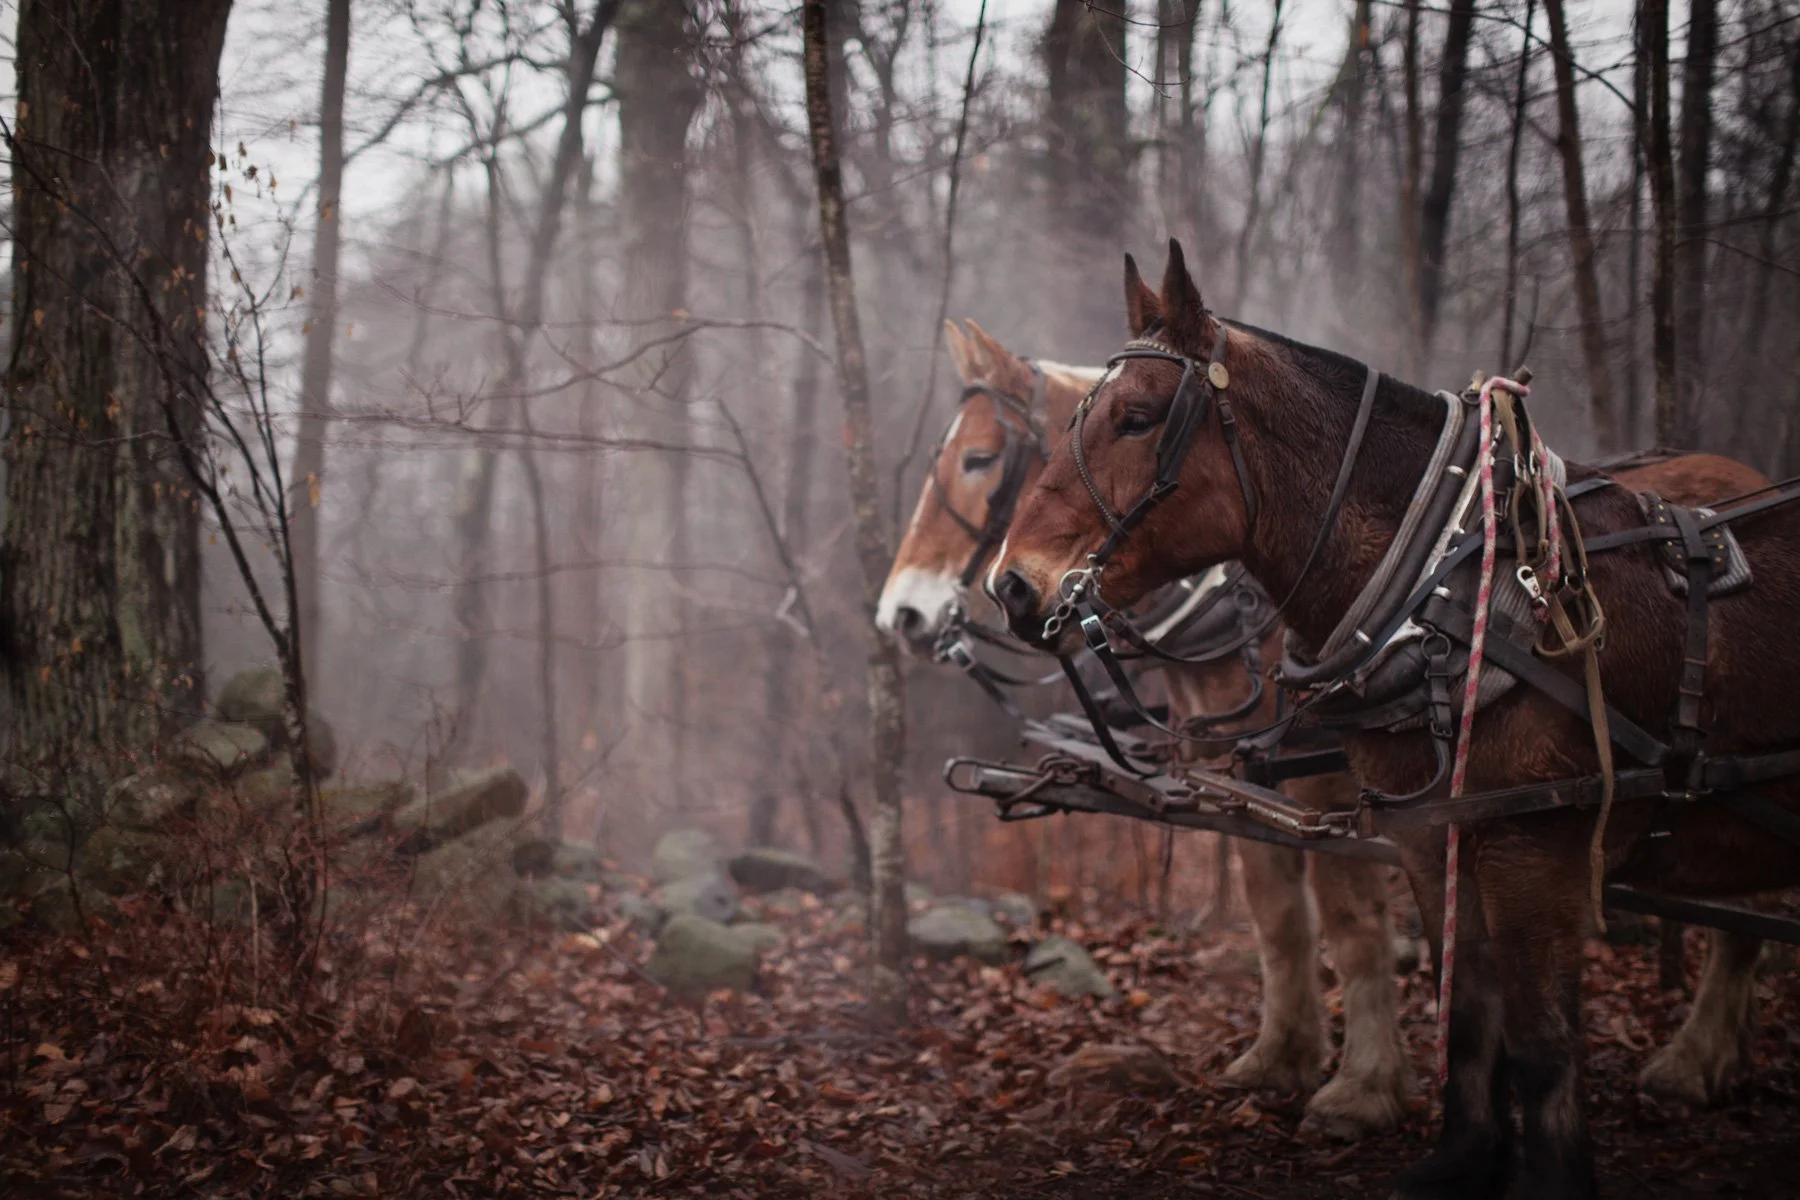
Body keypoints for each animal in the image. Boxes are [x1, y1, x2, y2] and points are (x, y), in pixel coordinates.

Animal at [878, 319, 1412, 1139]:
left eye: (979, 458)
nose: (900, 612)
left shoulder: (1329, 790)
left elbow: (1355, 926)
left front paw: (1363, 1089)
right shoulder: (1242, 788)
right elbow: (1278, 917)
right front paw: (1281, 1058)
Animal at [985, 240, 1800, 1198]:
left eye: (1138, 418)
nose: (1013, 585)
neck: (1450, 592)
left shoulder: (1533, 848)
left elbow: (1539, 1043)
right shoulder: (1432, 837)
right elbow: (1469, 1011)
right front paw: (1462, 1158)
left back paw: (1695, 1062)